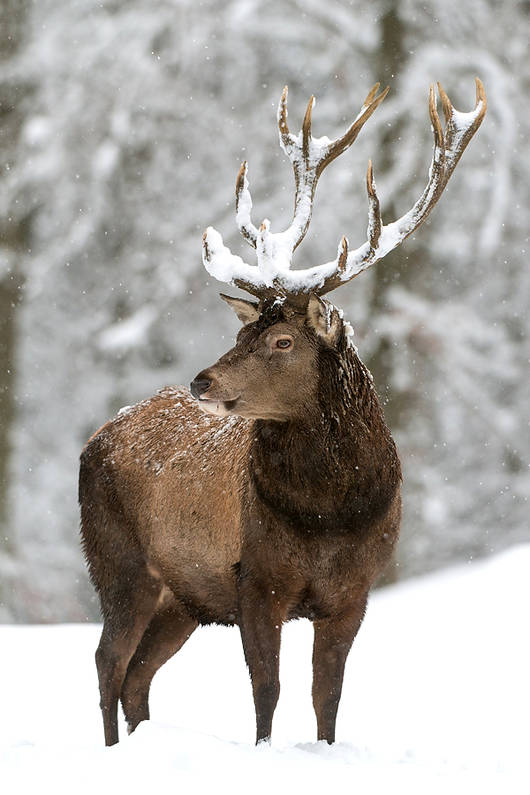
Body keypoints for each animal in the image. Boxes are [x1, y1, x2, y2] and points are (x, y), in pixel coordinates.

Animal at [77, 77, 482, 748]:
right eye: (242, 333)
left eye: (282, 341)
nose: (202, 380)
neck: (328, 515)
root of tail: (93, 441)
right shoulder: (256, 579)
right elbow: (267, 690)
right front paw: (265, 750)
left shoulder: (353, 591)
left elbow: (329, 697)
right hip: (119, 560)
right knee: (108, 660)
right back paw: (111, 751)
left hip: (185, 597)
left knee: (137, 674)